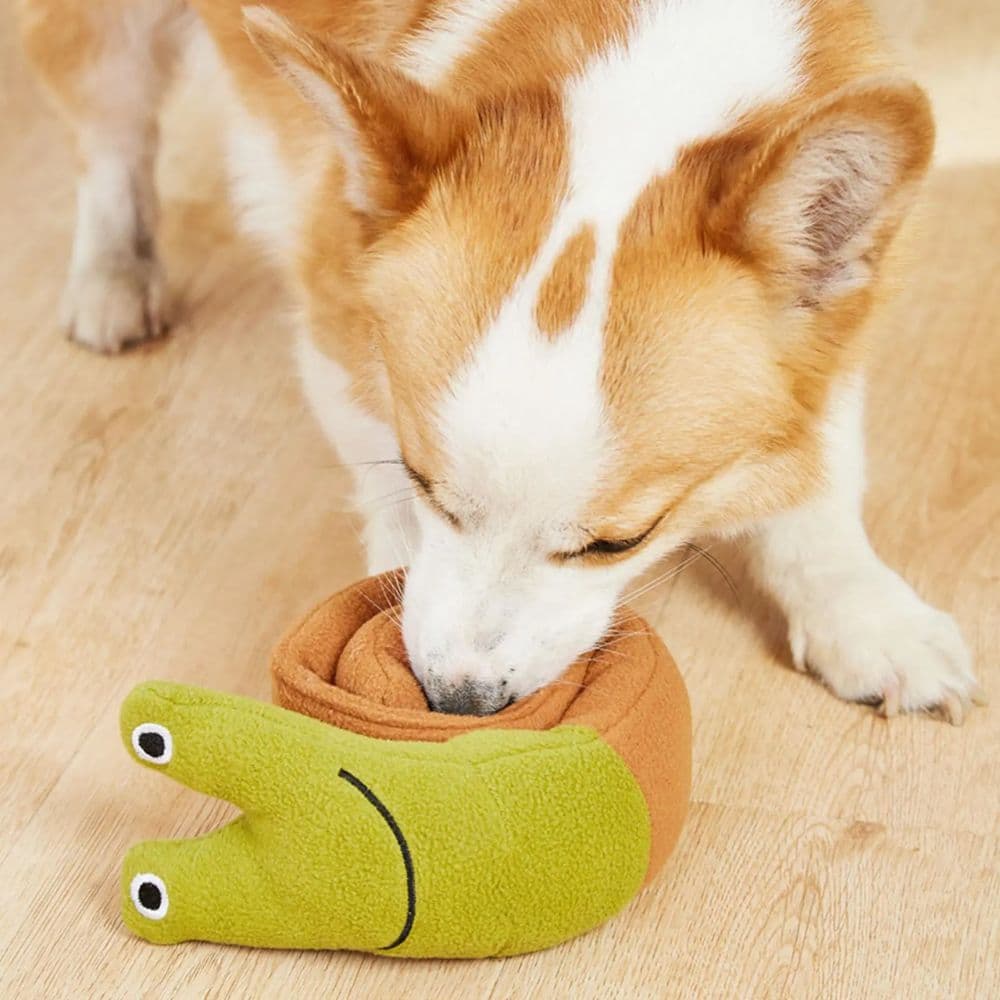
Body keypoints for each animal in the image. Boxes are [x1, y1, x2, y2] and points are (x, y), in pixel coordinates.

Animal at [19, 0, 980, 720]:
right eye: (424, 482)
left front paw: (866, 616)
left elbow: (817, 488)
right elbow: (386, 503)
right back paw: (113, 274)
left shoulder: (829, 340)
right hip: (108, 42)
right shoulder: (338, 316)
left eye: (619, 543)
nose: (458, 699)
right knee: (111, 133)